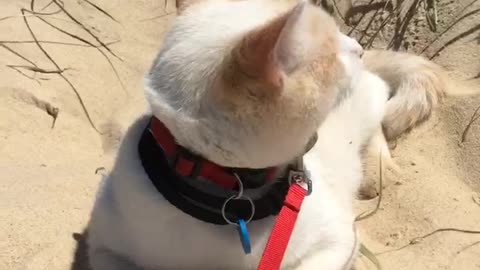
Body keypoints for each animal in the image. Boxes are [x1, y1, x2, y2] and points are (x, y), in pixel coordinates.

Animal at [86, 1, 446, 268]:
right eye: (332, 50)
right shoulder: (103, 244)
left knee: (379, 118)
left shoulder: (339, 240)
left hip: (367, 102)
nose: (359, 47)